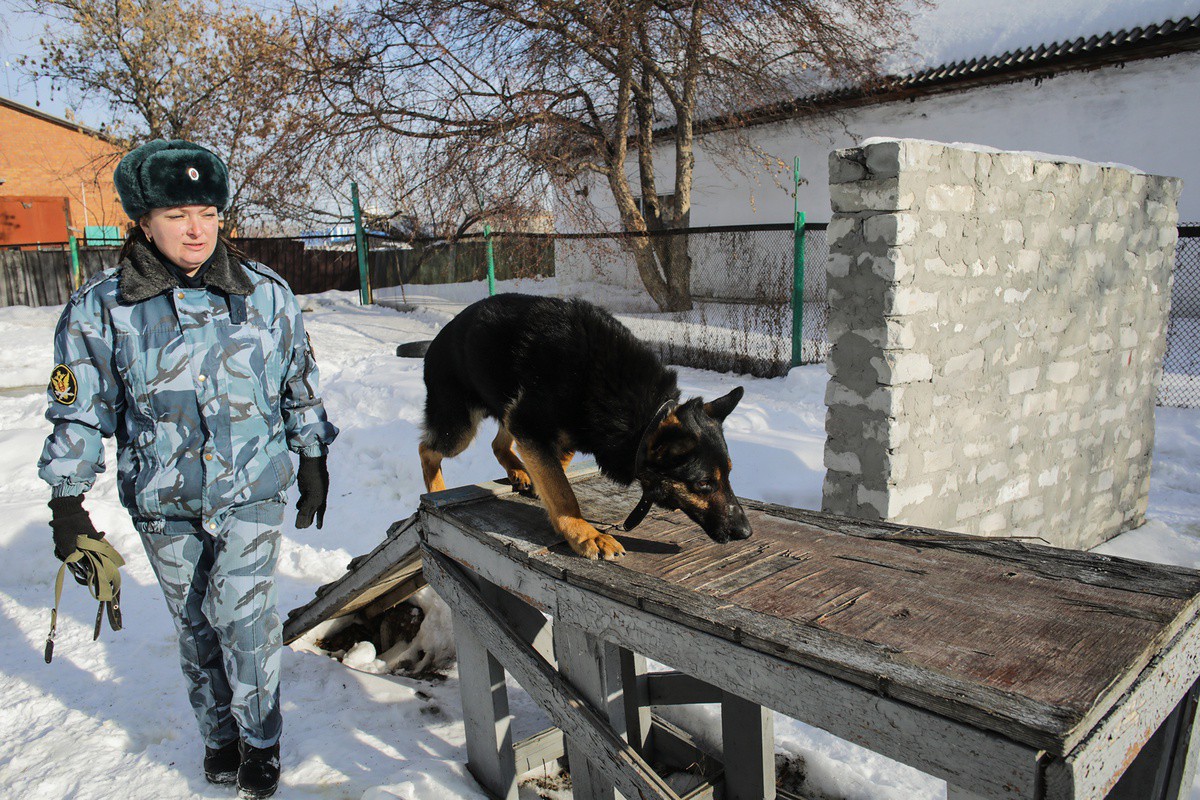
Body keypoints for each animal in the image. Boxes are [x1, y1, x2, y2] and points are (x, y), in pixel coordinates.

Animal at [422, 291, 748, 561]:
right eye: (704, 484)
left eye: (729, 475)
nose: (746, 532)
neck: (645, 416)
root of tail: (440, 336)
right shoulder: (530, 425)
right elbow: (562, 490)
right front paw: (584, 532)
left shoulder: (547, 430)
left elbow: (556, 471)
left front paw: (543, 490)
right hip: (460, 429)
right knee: (427, 449)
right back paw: (437, 491)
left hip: (506, 407)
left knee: (497, 442)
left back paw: (517, 470)